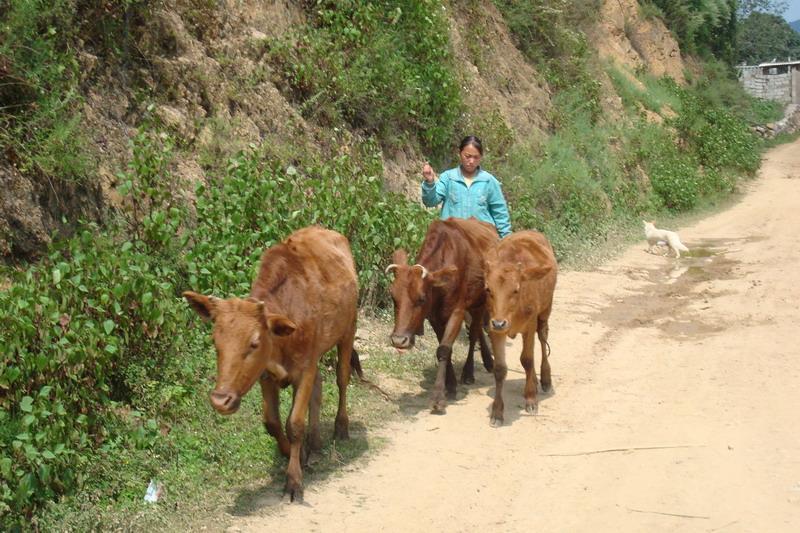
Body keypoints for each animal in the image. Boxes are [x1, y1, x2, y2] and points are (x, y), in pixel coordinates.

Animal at [184, 227, 360, 500]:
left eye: (254, 343)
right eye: (215, 341)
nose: (220, 401)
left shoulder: (304, 369)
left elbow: (294, 423)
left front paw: (294, 480)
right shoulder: (267, 376)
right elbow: (272, 422)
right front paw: (293, 454)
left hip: (348, 330)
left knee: (342, 378)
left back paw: (341, 427)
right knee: (319, 386)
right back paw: (315, 442)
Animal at [482, 231, 556, 426]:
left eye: (515, 290)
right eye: (488, 289)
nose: (499, 323)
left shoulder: (529, 324)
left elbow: (527, 360)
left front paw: (531, 399)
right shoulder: (495, 328)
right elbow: (500, 368)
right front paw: (497, 412)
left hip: (545, 310)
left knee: (543, 338)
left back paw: (545, 379)